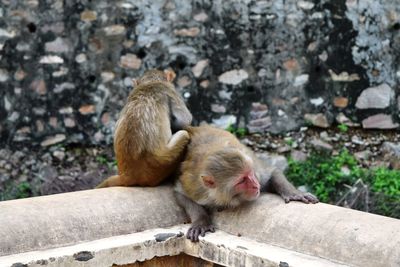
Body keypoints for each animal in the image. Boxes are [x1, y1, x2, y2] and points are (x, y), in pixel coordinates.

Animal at [175, 125, 318, 243]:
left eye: (250, 172)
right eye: (242, 180)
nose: (255, 185)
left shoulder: (256, 170)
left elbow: (272, 173)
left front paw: (294, 194)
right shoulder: (195, 187)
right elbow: (180, 193)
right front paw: (201, 221)